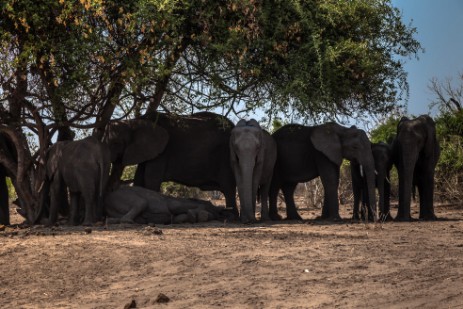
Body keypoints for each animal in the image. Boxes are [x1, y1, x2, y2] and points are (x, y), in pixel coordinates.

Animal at [105, 185, 236, 224]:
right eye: (212, 206)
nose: (229, 216)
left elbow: (177, 218)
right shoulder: (175, 203)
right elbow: (176, 207)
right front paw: (199, 215)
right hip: (123, 196)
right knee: (140, 203)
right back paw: (128, 221)